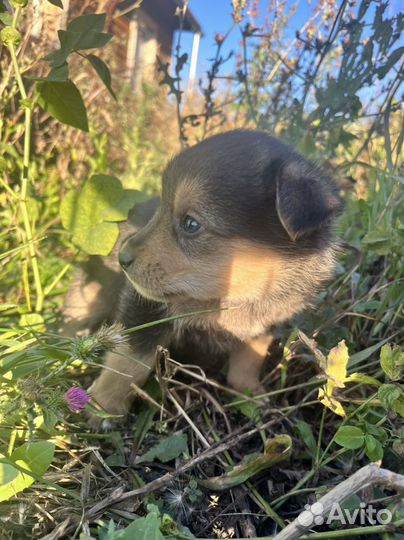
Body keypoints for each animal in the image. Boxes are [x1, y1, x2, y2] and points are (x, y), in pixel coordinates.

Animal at [62, 130, 340, 422]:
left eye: (191, 224)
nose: (121, 258)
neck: (236, 297)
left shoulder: (266, 324)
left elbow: (249, 359)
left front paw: (250, 395)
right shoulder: (145, 306)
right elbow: (129, 360)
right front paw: (103, 407)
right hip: (87, 294)